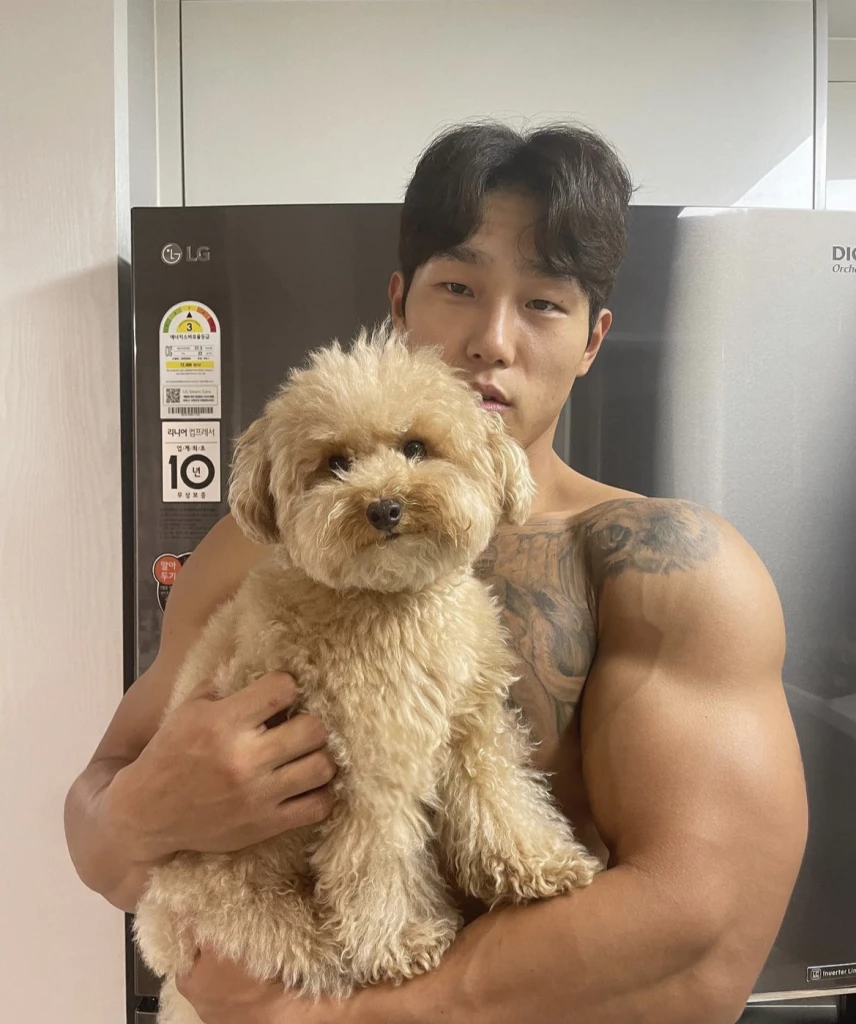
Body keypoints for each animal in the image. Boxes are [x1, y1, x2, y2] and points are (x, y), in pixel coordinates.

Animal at [134, 323, 601, 1023]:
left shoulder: (471, 725)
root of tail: (156, 931)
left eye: (416, 447)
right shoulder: (373, 758)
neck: (392, 602)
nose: (385, 507)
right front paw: (403, 941)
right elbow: (378, 857)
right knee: (299, 949)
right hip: (242, 909)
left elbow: (501, 800)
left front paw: (540, 864)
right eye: (335, 464)